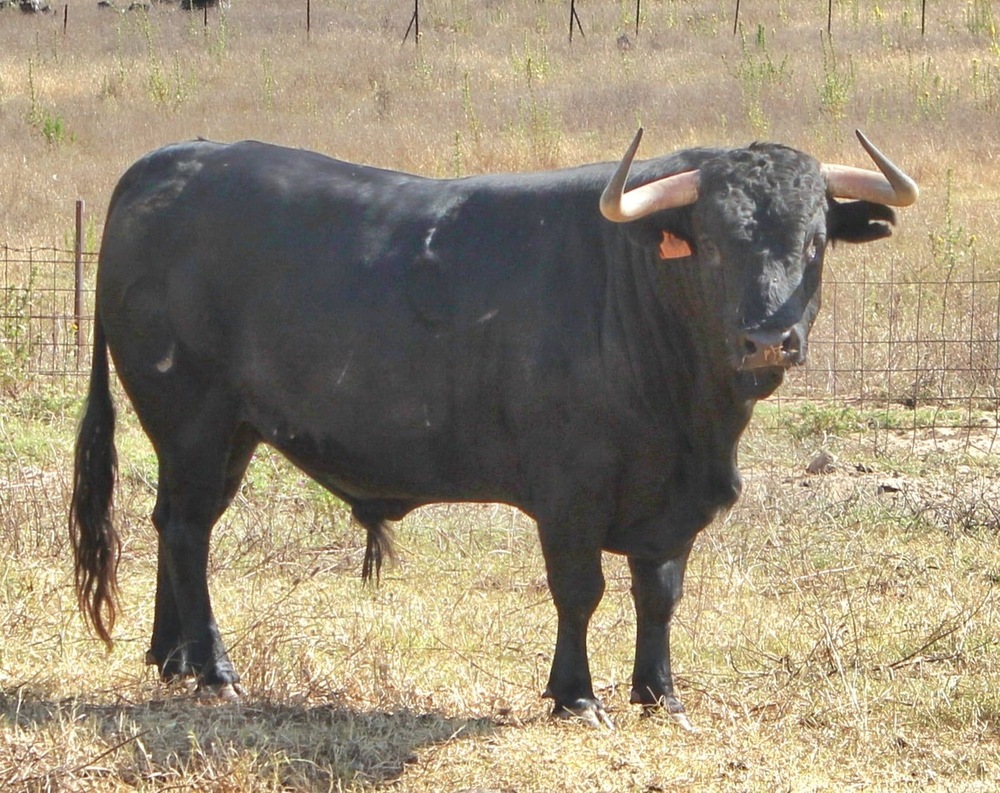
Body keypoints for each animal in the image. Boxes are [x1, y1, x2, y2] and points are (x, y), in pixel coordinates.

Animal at [70, 128, 916, 724]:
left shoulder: (670, 501)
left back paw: (171, 656)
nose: (768, 339)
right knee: (186, 529)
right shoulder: (571, 489)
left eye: (815, 242)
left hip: (228, 431)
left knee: (178, 524)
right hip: (191, 416)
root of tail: (170, 160)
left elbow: (659, 592)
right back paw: (213, 668)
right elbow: (580, 588)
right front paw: (576, 695)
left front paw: (658, 691)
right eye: (710, 242)